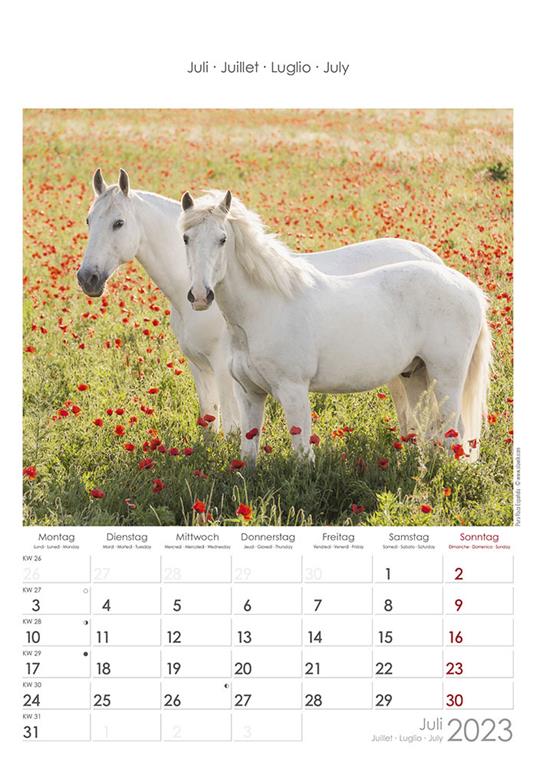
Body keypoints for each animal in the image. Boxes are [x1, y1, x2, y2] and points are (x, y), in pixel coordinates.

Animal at [77, 169, 443, 435]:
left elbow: (231, 429)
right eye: (88, 220)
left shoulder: (224, 370)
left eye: (119, 223)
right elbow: (209, 424)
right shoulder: (199, 367)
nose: (87, 278)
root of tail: (428, 257)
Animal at [180, 189, 491, 463]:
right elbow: (248, 454)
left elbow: (302, 455)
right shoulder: (250, 394)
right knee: (429, 431)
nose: (200, 296)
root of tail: (469, 288)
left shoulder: (293, 391)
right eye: (185, 238)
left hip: (447, 378)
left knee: (454, 432)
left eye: (222, 239)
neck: (263, 310)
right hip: (416, 375)